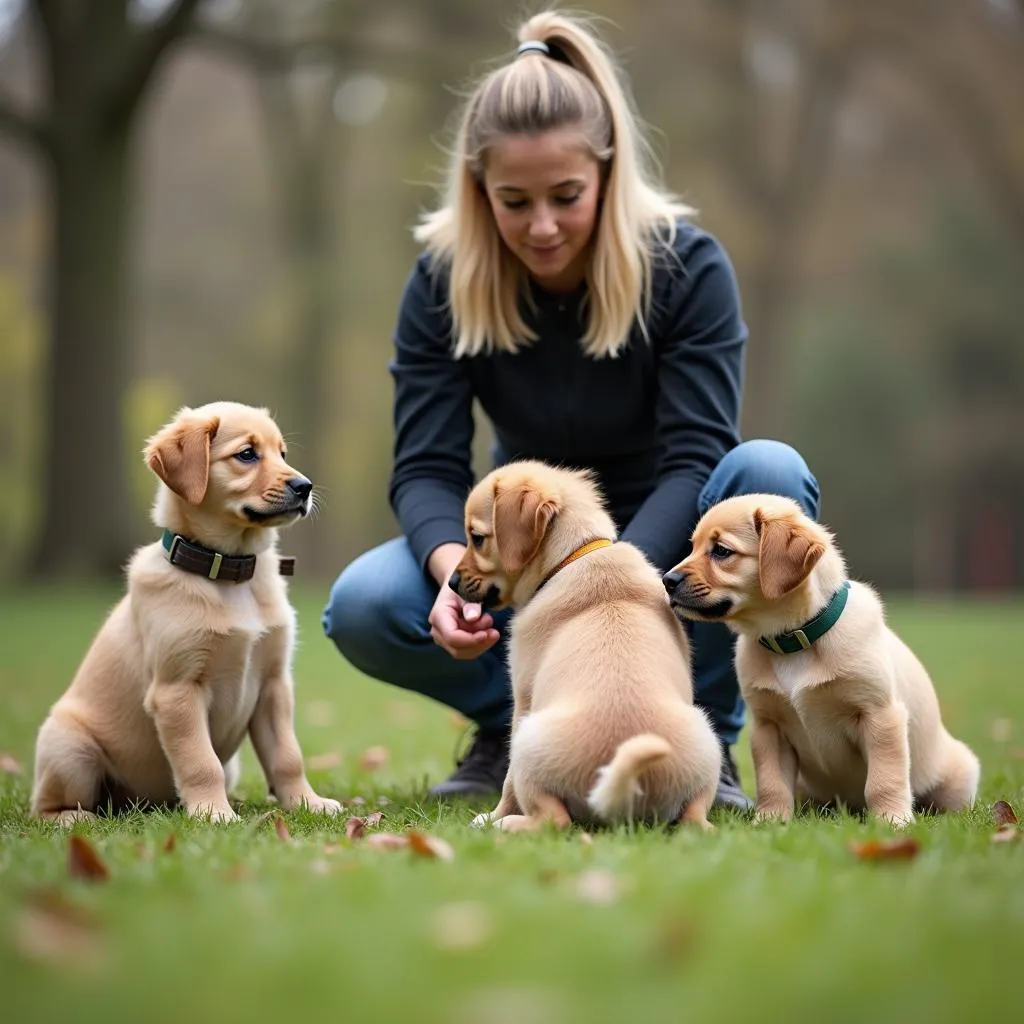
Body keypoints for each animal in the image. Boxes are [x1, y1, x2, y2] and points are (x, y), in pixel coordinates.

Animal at [30, 399, 344, 823]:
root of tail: (140, 804)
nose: (305, 487)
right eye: (247, 454)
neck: (229, 573)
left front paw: (308, 803)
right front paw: (214, 814)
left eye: (283, 453)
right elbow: (200, 761)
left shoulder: (274, 684)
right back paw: (74, 817)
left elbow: (287, 756)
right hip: (68, 745)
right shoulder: (177, 689)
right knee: (43, 806)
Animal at [452, 460, 724, 835]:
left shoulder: (522, 699)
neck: (574, 555)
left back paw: (502, 825)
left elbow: (507, 785)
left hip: (528, 742)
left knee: (555, 821)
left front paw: (491, 815)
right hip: (708, 743)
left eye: (477, 538)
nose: (450, 582)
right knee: (695, 822)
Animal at [663, 491, 974, 827]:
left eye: (721, 551)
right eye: (692, 546)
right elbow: (772, 782)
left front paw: (891, 820)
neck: (793, 641)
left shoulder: (880, 715)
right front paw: (770, 820)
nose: (667, 580)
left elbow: (884, 779)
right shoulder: (769, 726)